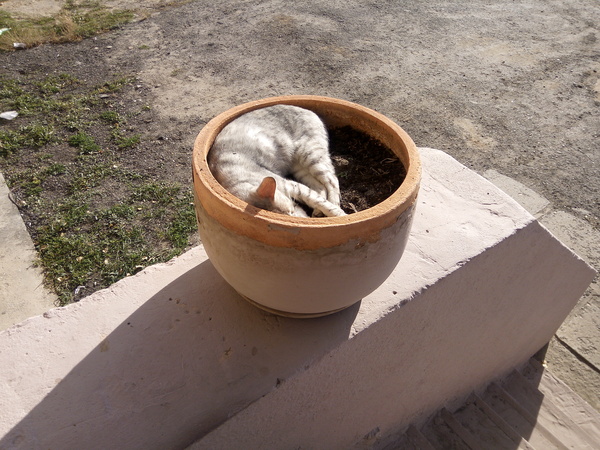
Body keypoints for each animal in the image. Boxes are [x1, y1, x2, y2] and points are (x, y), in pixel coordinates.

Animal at [207, 105, 344, 218]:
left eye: (291, 210)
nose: (294, 216)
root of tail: (308, 110)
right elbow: (315, 197)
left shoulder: (291, 185)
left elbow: (317, 199)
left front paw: (338, 214)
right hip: (300, 168)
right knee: (320, 186)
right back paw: (317, 212)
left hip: (310, 154)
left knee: (332, 180)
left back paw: (334, 205)